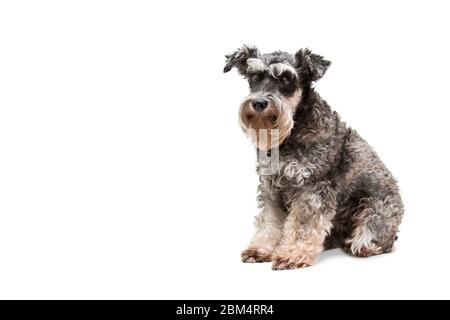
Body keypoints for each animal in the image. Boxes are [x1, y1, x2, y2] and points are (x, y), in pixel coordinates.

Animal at [224, 45, 404, 270]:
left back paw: (361, 245)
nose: (258, 103)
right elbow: (269, 220)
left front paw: (292, 254)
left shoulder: (312, 188)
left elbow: (303, 224)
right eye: (254, 77)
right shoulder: (271, 189)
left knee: (374, 240)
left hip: (374, 211)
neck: (293, 131)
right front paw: (261, 249)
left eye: (286, 79)